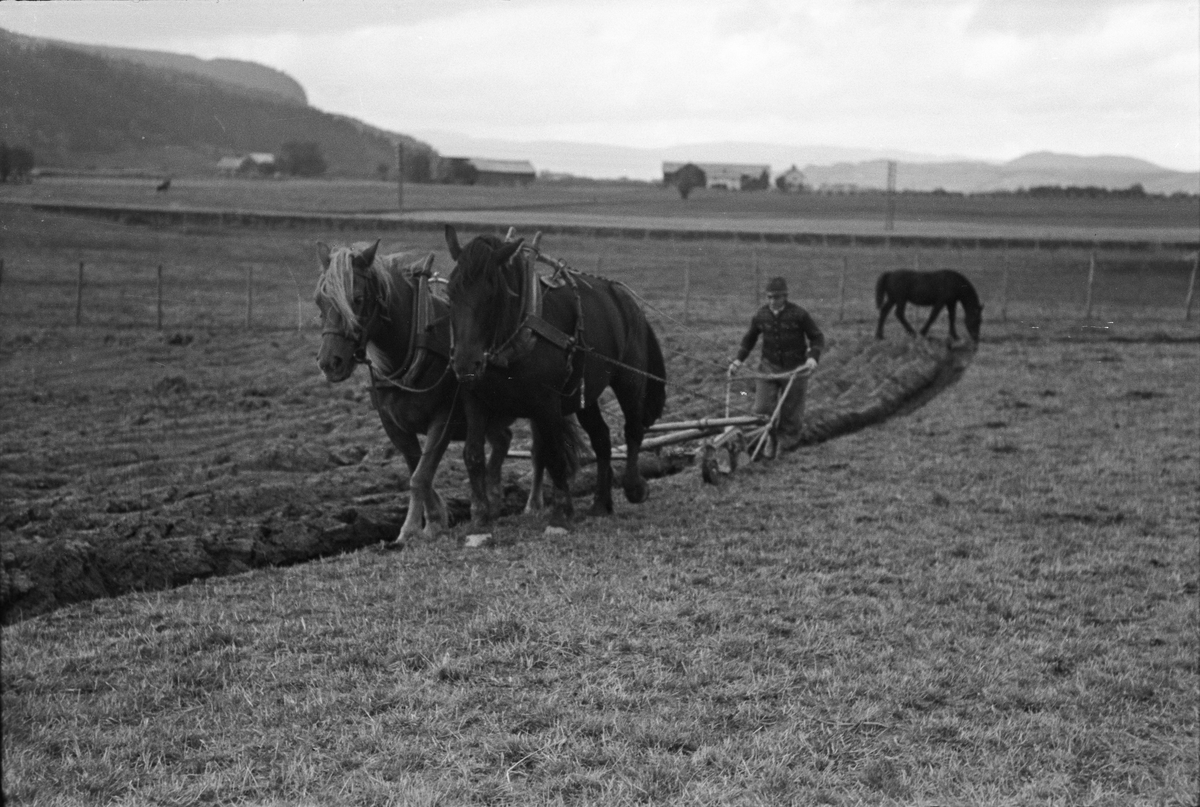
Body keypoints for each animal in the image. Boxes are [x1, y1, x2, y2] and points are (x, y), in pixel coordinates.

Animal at [312, 240, 513, 542]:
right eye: (319, 300)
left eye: (357, 298)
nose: (329, 363)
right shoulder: (393, 424)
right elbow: (417, 470)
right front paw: (435, 519)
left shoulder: (444, 418)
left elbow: (420, 476)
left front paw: (410, 530)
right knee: (503, 440)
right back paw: (495, 496)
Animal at [444, 223, 667, 533]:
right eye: (450, 292)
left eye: (492, 295)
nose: (465, 362)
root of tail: (624, 298)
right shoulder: (474, 399)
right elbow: (473, 454)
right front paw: (480, 515)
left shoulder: (546, 404)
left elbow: (555, 456)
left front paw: (562, 513)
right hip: (584, 394)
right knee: (601, 438)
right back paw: (601, 502)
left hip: (629, 378)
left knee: (633, 428)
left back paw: (634, 487)